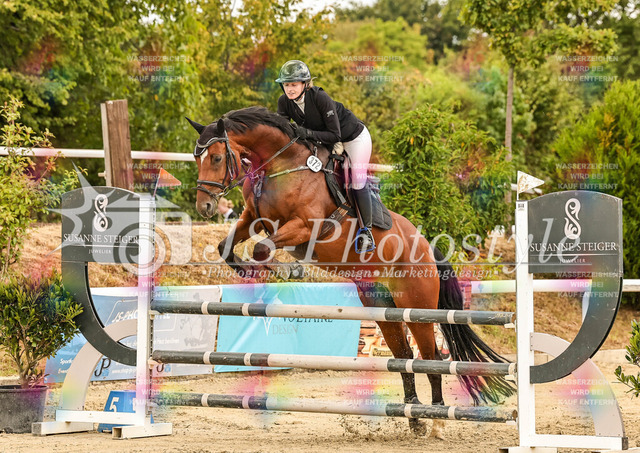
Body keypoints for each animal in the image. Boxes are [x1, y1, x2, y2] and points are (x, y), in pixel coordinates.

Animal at [187, 106, 515, 439]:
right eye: (197, 158)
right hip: (382, 306)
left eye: (216, 158)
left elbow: (262, 249)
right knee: (404, 358)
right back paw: (414, 418)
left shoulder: (305, 227)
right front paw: (250, 270)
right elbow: (226, 247)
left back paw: (435, 420)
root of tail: (427, 247)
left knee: (431, 359)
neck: (282, 165)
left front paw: (290, 269)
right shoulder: (251, 217)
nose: (204, 206)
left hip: (418, 307)